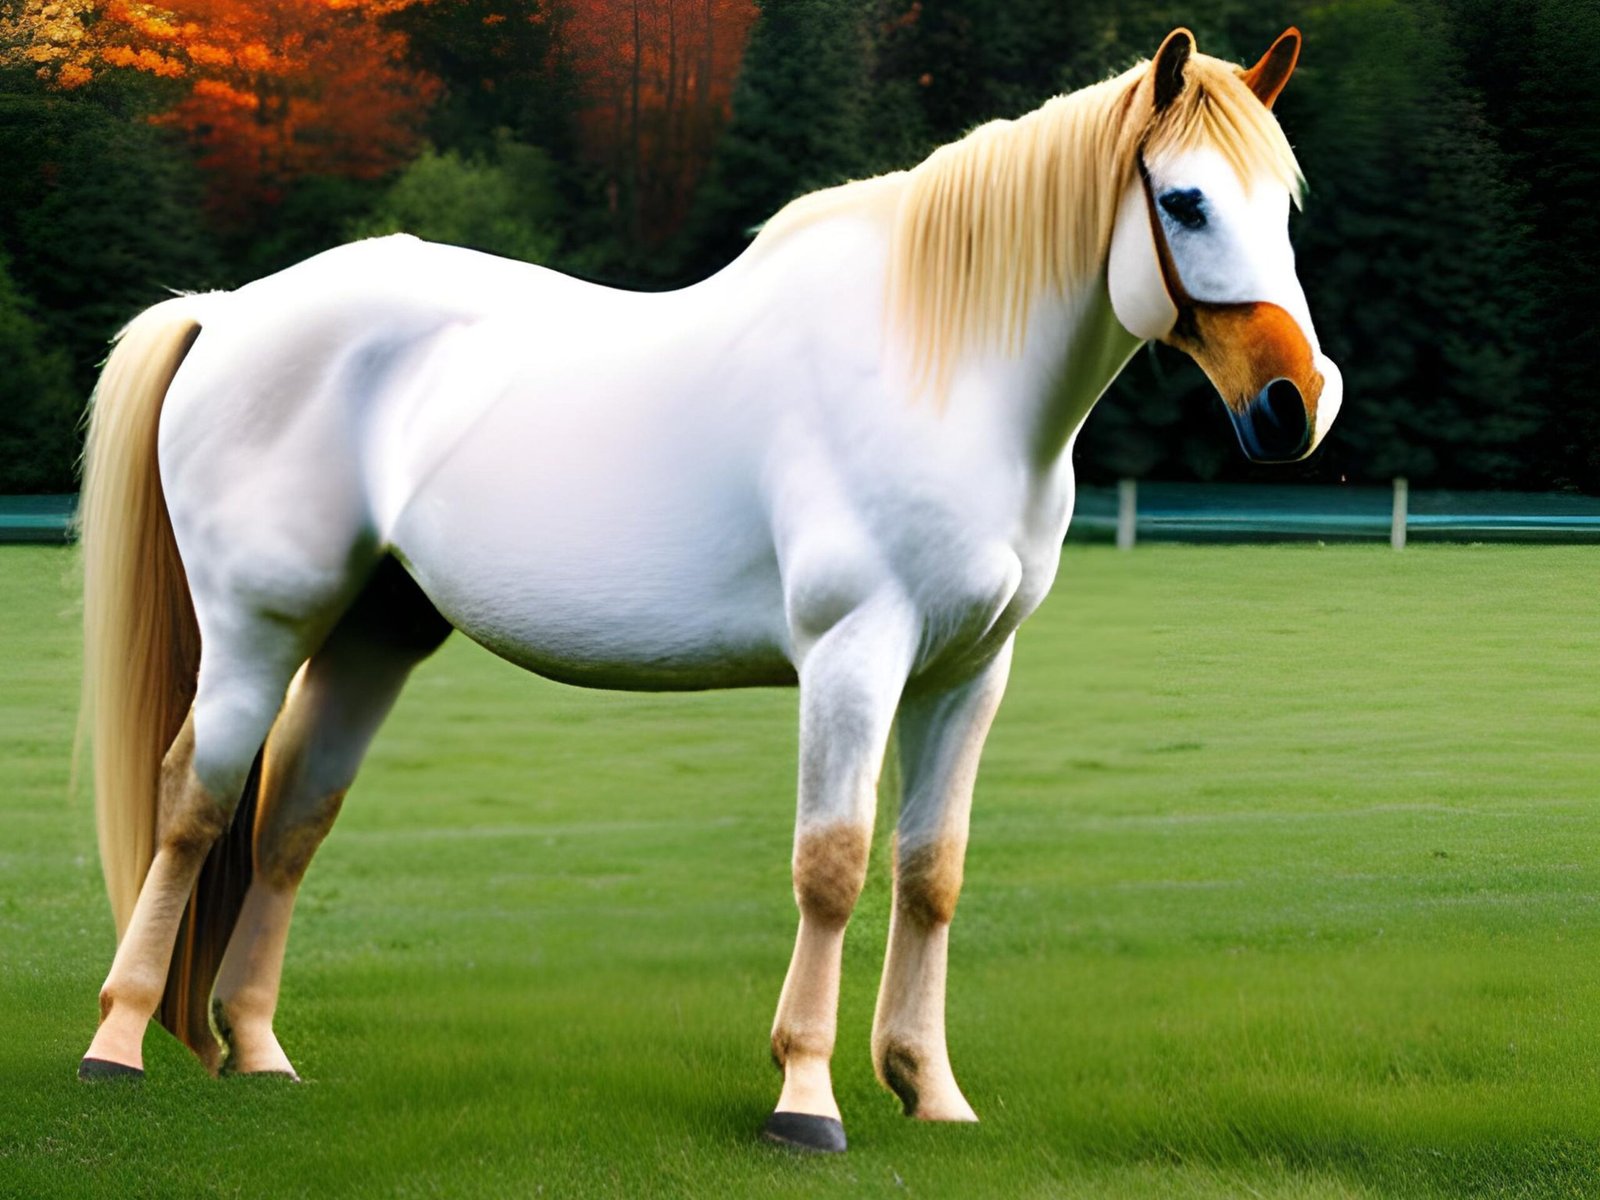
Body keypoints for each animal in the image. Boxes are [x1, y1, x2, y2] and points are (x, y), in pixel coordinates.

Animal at [76, 27, 1341, 1153]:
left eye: (1279, 211)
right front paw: (807, 1102)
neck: (942, 372)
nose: (1295, 405)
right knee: (194, 803)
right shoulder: (853, 655)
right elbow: (832, 865)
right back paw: (117, 1043)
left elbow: (930, 874)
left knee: (290, 818)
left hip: (372, 635)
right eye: (1184, 203)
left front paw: (930, 1092)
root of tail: (231, 311)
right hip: (259, 625)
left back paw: (258, 1051)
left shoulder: (968, 673)